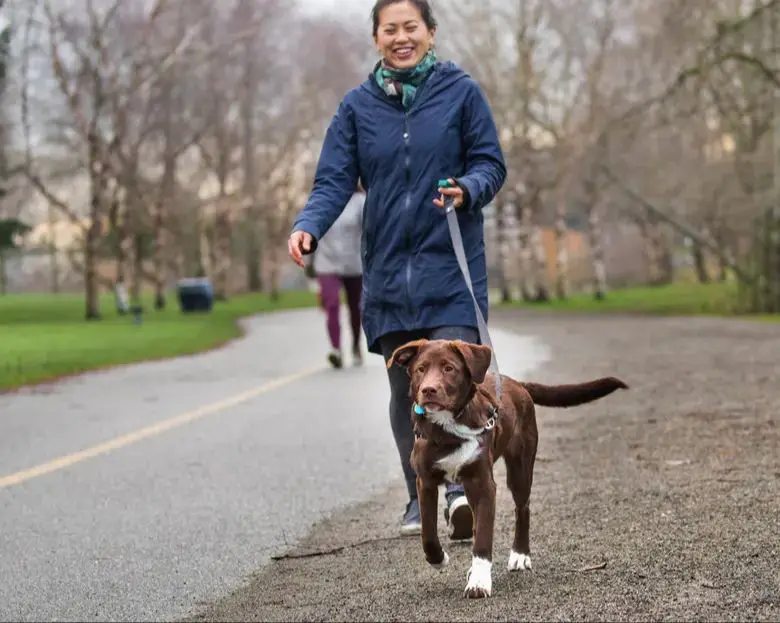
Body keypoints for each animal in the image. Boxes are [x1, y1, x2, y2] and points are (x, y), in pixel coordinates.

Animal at [386, 342, 632, 600]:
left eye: (448, 368)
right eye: (420, 369)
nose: (428, 390)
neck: (448, 430)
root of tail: (517, 383)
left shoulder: (483, 484)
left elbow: (483, 538)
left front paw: (479, 582)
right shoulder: (425, 481)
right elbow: (428, 532)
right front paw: (439, 559)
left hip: (520, 469)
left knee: (522, 509)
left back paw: (520, 555)